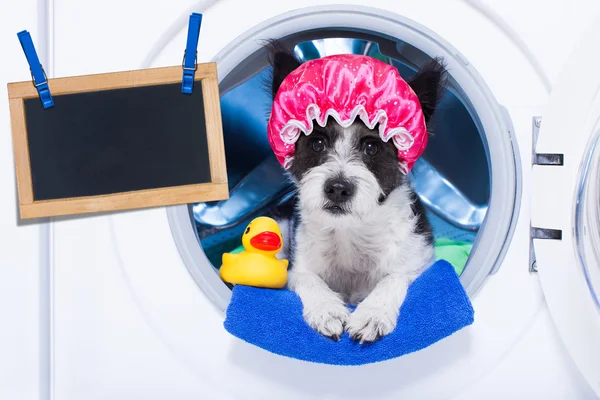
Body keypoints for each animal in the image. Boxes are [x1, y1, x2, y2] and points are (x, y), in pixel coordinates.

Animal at [264, 41, 448, 344]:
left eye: (371, 147)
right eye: (317, 143)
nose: (338, 189)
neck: (351, 232)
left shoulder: (419, 260)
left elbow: (394, 277)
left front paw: (372, 314)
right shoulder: (298, 264)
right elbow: (307, 278)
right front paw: (326, 309)